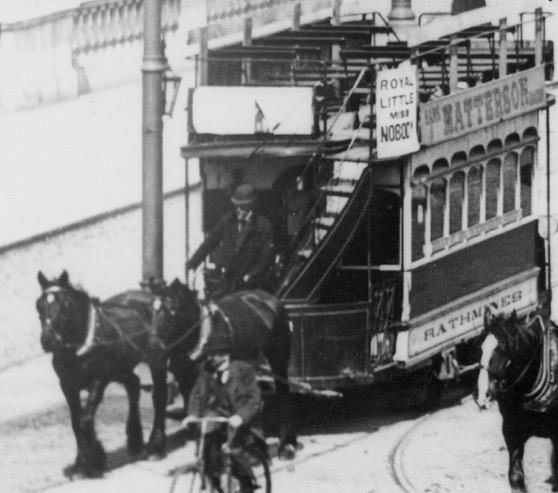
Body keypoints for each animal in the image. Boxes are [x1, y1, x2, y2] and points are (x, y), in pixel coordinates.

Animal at [35, 270, 171, 476]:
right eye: (39, 306)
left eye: (65, 306)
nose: (47, 341)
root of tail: (152, 296)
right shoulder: (67, 385)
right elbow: (76, 421)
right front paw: (82, 463)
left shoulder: (98, 380)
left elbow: (85, 419)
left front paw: (92, 460)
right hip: (120, 367)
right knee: (133, 385)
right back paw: (135, 440)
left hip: (157, 360)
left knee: (160, 395)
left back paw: (156, 446)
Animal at [155, 278, 298, 456]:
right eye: (153, 309)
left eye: (173, 310)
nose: (155, 345)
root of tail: (269, 298)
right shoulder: (186, 382)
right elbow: (195, 413)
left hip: (278, 358)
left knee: (283, 391)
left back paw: (285, 445)